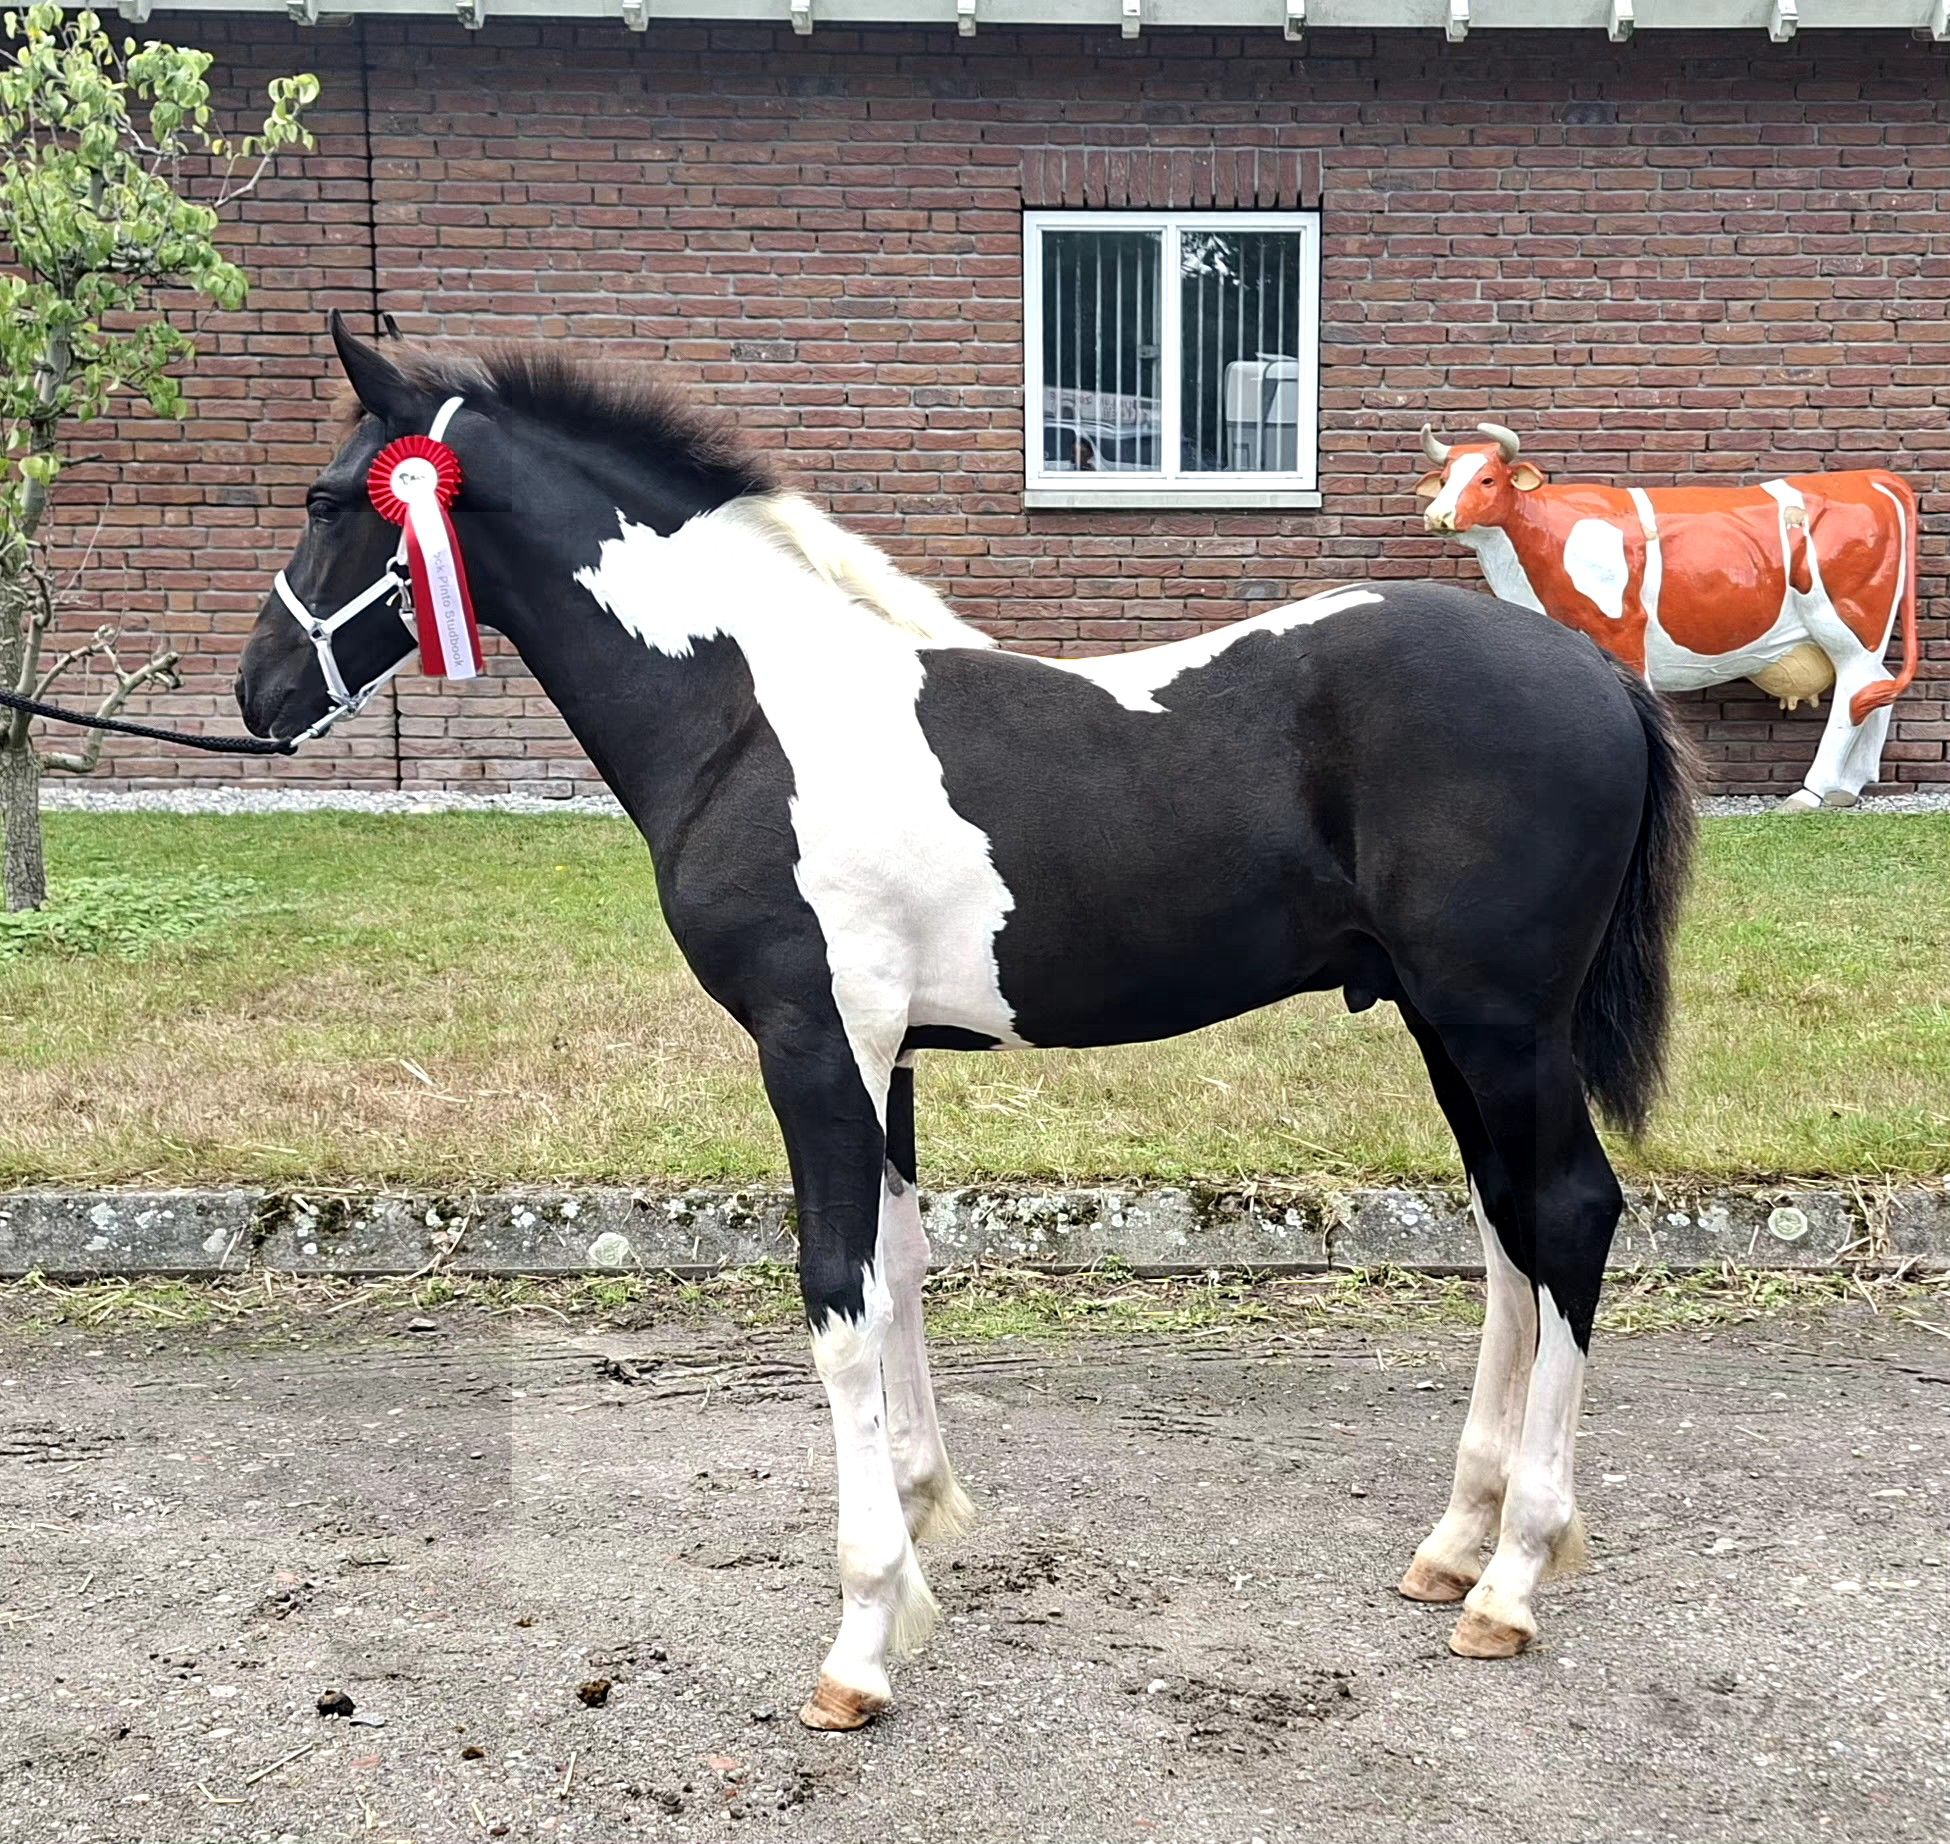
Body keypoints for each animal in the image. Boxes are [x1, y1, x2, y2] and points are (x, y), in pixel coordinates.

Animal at [238, 317, 1694, 1730]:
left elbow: (836, 1301)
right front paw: (923, 1510)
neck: (753, 717)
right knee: (1509, 1230)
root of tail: (1593, 672)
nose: (257, 695)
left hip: (1500, 1025)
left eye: (327, 499)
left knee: (1568, 1213)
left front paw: (862, 1637)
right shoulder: (880, 1064)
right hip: (1448, 1027)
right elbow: (898, 1266)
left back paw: (1511, 1577)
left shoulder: (812, 1048)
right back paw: (1455, 1539)